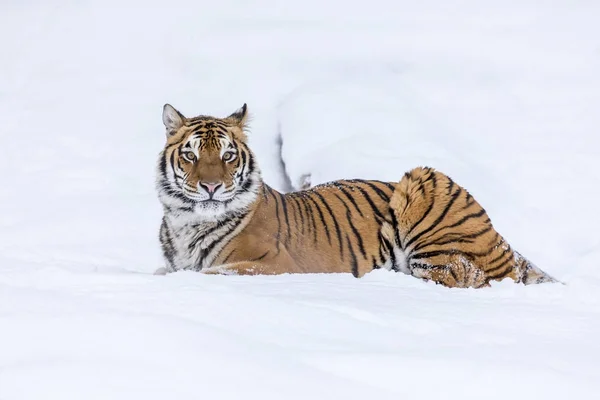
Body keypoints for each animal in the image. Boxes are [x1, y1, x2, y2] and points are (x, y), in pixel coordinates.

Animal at [156, 103, 556, 288]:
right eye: (191, 154)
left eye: (227, 155)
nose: (211, 187)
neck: (187, 222)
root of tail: (505, 244)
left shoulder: (272, 264)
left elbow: (208, 273)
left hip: (424, 186)